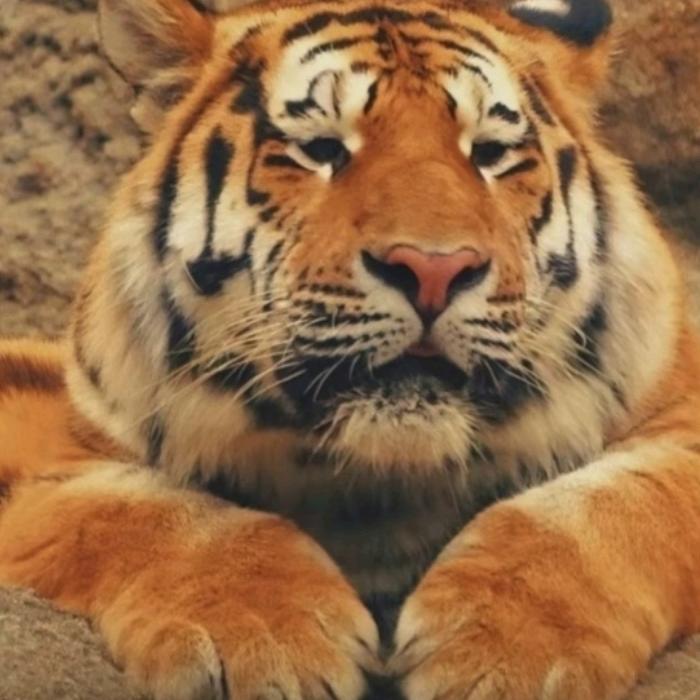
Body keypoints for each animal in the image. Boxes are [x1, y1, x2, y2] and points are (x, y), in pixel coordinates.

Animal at [1, 0, 699, 697]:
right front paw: (266, 639)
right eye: (321, 150)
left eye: (491, 155)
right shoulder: (71, 459)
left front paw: (501, 650)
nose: (434, 269)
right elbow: (166, 517)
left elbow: (599, 510)